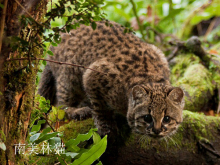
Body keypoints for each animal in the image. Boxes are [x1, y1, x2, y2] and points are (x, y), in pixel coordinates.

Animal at [38, 21, 184, 139]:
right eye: (147, 117)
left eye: (167, 118)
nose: (157, 130)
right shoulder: (93, 73)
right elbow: (100, 107)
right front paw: (106, 127)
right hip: (69, 78)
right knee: (61, 106)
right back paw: (77, 111)